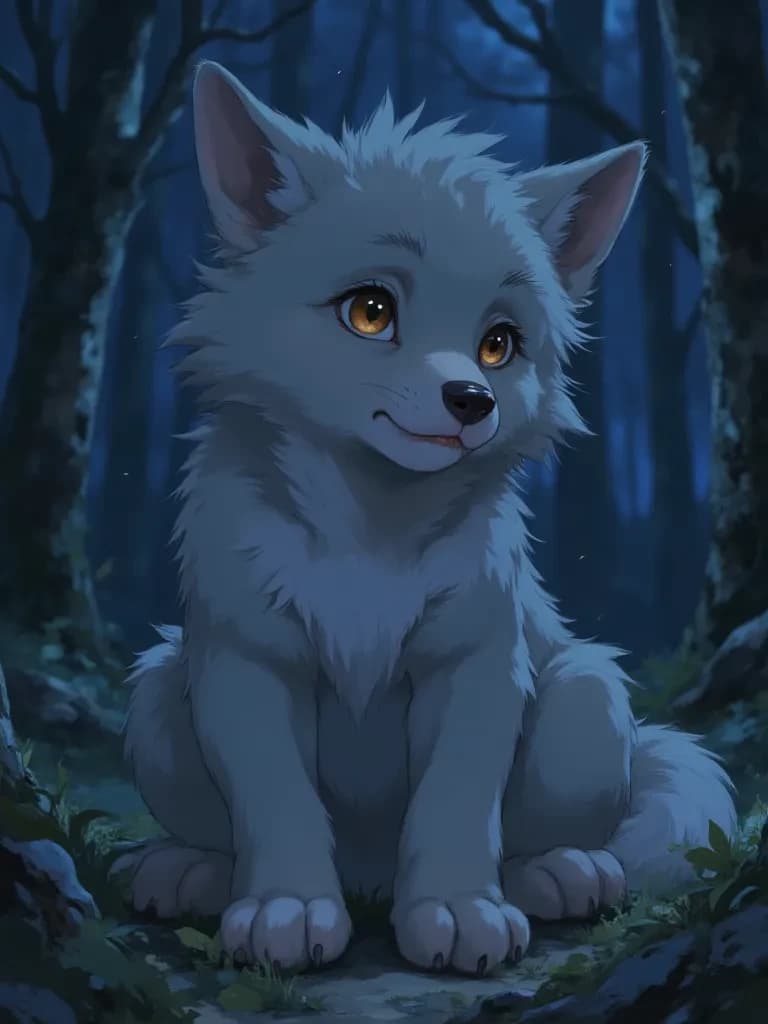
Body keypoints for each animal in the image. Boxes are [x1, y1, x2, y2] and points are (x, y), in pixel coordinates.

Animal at [119, 61, 736, 976]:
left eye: (500, 344)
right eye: (370, 311)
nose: (472, 400)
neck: (369, 533)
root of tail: (367, 876)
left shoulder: (475, 664)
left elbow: (456, 801)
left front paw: (455, 912)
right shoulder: (248, 661)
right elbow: (275, 797)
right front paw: (285, 910)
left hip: (586, 695)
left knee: (551, 832)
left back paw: (560, 873)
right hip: (158, 690)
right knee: (217, 827)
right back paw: (191, 871)